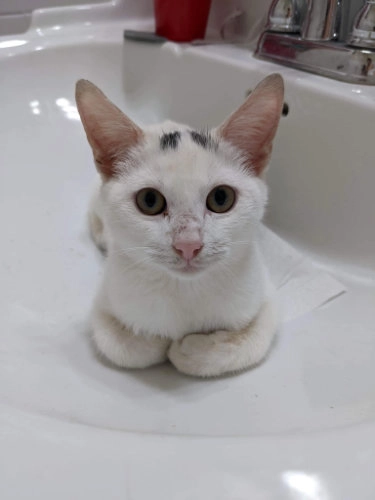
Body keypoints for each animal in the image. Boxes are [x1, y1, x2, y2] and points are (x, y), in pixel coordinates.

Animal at [75, 74, 284, 376]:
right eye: (149, 200)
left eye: (221, 198)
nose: (188, 244)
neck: (185, 291)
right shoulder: (103, 304)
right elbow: (124, 348)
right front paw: (154, 340)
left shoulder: (266, 298)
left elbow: (251, 342)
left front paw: (192, 349)